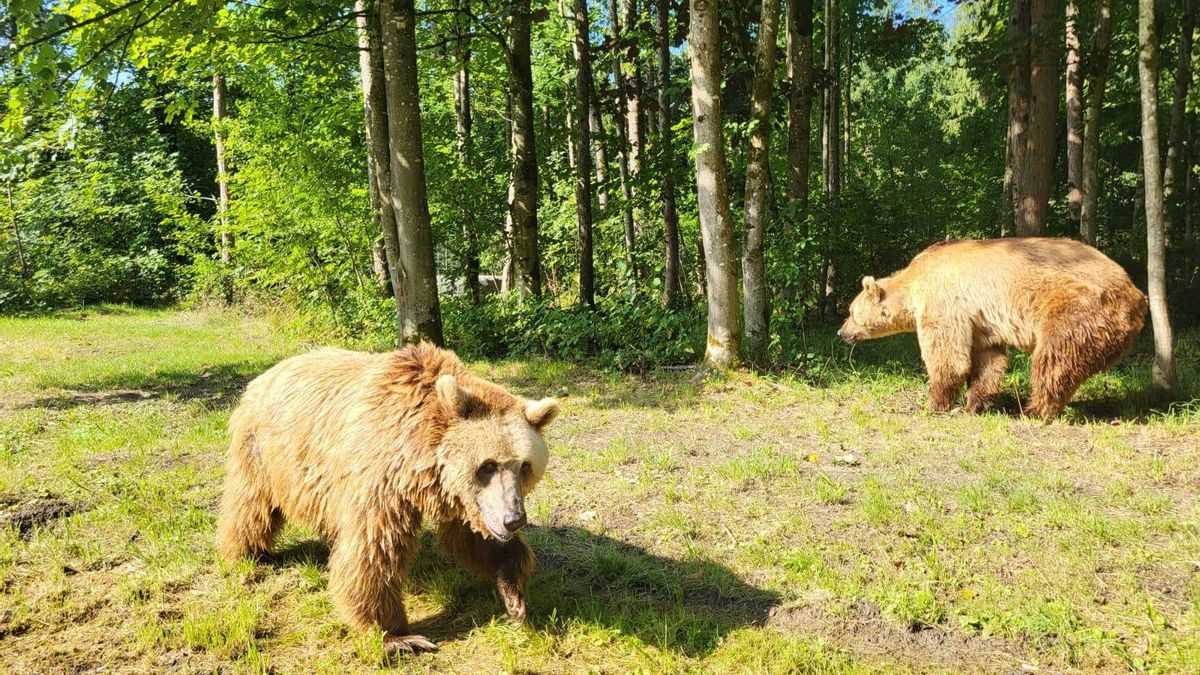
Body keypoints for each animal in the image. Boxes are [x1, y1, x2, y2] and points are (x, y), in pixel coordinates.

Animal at [215, 342, 560, 653]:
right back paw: (248, 553)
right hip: (265, 450)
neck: (416, 457)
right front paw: (396, 635)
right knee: (250, 501)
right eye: (487, 465)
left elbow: (472, 536)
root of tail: (268, 373)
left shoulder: (462, 496)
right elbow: (374, 548)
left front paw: (514, 594)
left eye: (524, 466)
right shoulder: (380, 476)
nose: (514, 518)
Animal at [837, 237, 1147, 419]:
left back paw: (1033, 409)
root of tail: (1137, 295)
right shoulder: (978, 321)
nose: (842, 332)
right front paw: (977, 403)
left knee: (1052, 360)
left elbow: (947, 356)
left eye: (851, 311)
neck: (914, 285)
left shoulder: (944, 303)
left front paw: (934, 402)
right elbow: (987, 359)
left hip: (1076, 309)